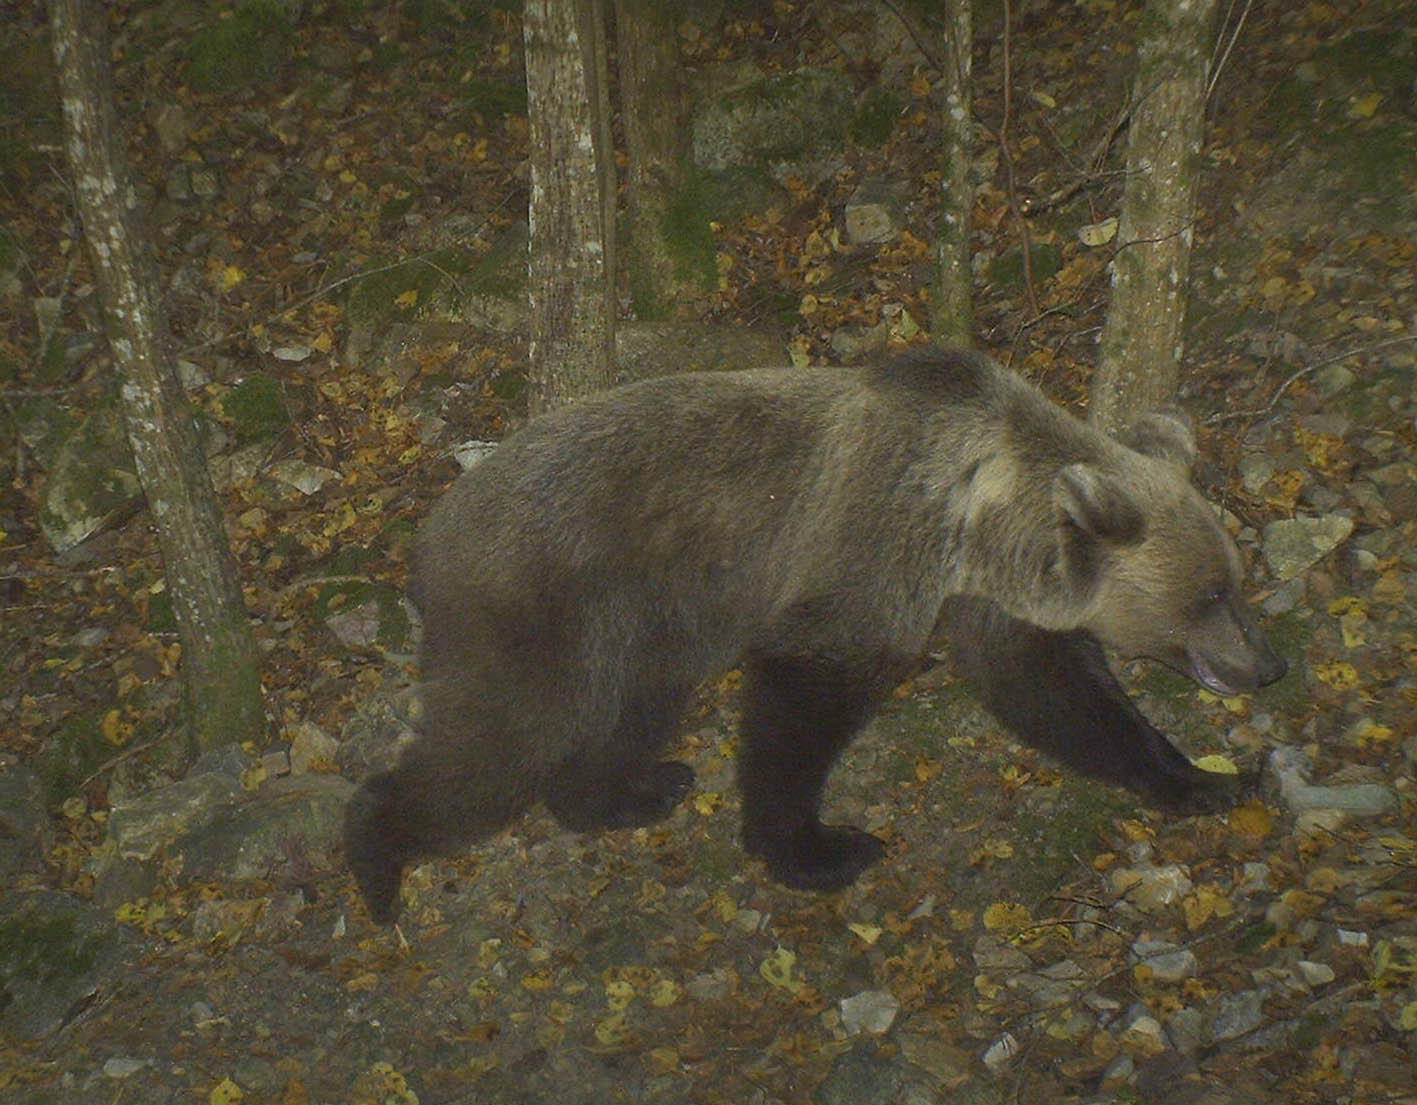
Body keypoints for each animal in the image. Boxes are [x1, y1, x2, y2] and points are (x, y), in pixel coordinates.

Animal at [345, 346, 1286, 924]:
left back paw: (634, 788)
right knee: (508, 735)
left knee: (621, 715)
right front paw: (818, 846)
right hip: (546, 604)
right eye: (1209, 593)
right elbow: (800, 702)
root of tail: (428, 538)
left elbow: (1061, 696)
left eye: (1231, 579)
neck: (975, 517)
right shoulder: (870, 554)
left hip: (643, 627)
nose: (1267, 663)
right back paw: (378, 854)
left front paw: (1207, 778)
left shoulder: (987, 601)